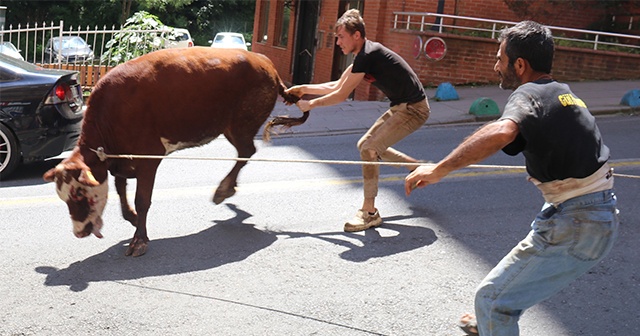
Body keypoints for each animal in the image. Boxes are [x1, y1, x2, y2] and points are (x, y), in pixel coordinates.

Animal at [43, 46, 308, 258]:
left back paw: (223, 189)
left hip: (242, 124)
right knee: (245, 152)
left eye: (78, 194)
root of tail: (266, 64)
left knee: (247, 151)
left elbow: (142, 200)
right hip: (230, 127)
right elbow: (121, 192)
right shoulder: (121, 161)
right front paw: (131, 218)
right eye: (62, 197)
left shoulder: (149, 158)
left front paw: (140, 240)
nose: (79, 233)